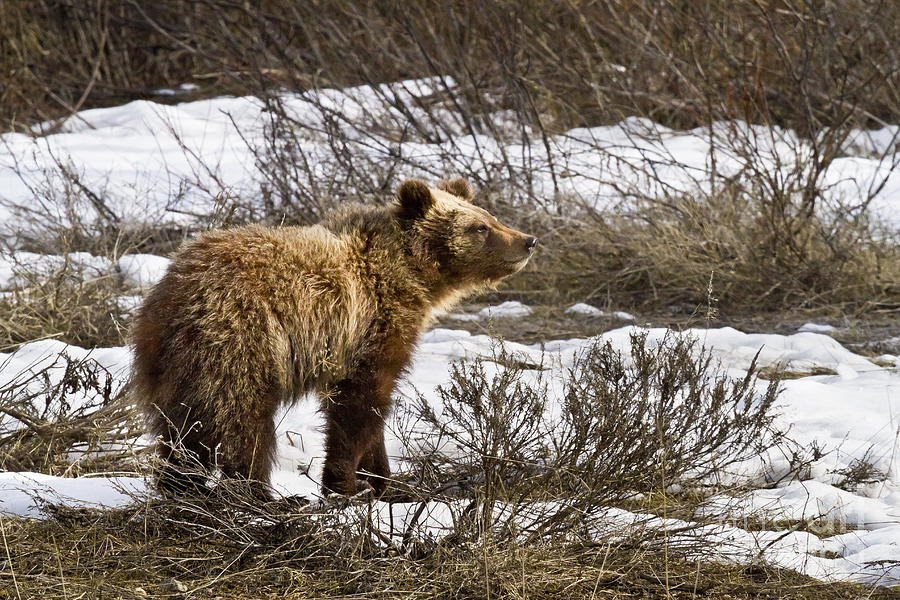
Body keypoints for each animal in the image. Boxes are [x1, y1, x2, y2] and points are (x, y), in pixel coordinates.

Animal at [131, 178, 536, 496]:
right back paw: (260, 496)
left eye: (491, 217)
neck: (408, 274)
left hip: (171, 366)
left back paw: (181, 488)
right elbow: (358, 405)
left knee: (181, 430)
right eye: (479, 227)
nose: (527, 240)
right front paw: (343, 484)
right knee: (243, 421)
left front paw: (386, 484)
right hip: (240, 338)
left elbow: (373, 415)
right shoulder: (368, 328)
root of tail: (171, 293)